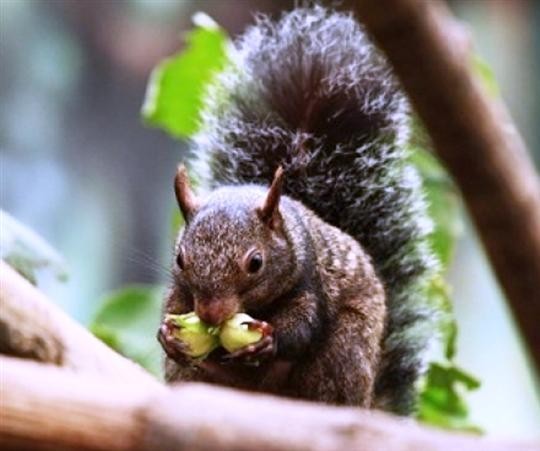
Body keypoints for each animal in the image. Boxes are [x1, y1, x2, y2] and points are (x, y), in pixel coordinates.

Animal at [156, 6, 434, 416]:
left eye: (256, 263)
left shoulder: (309, 280)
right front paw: (168, 335)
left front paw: (268, 341)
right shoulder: (181, 289)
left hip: (344, 353)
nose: (210, 314)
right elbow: (173, 306)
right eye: (180, 259)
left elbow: (304, 324)